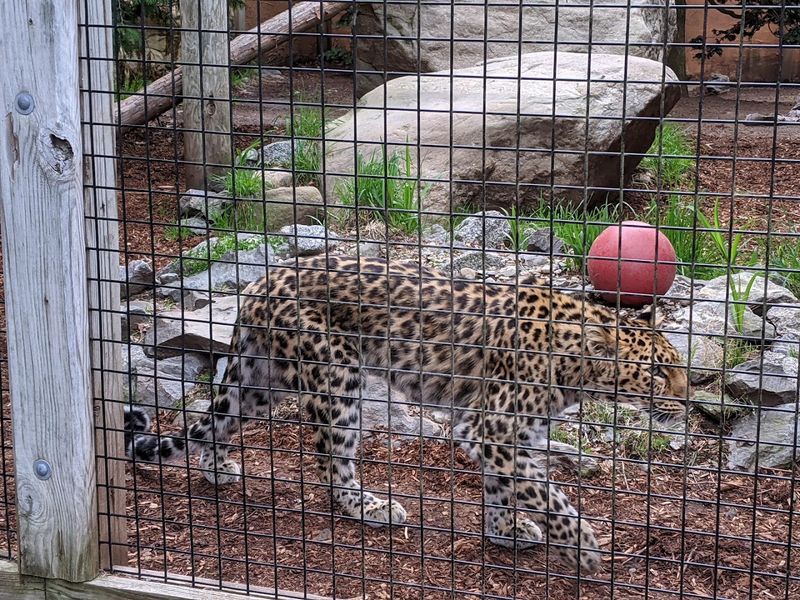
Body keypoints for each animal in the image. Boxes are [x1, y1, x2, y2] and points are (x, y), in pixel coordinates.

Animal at [125, 255, 689, 573]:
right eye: (658, 373)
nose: (687, 401)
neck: (578, 367)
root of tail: (262, 283)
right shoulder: (494, 430)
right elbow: (546, 493)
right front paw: (584, 547)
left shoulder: (497, 434)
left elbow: (508, 487)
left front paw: (504, 530)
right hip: (337, 377)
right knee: (331, 462)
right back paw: (369, 507)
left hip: (263, 380)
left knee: (216, 420)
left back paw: (217, 467)